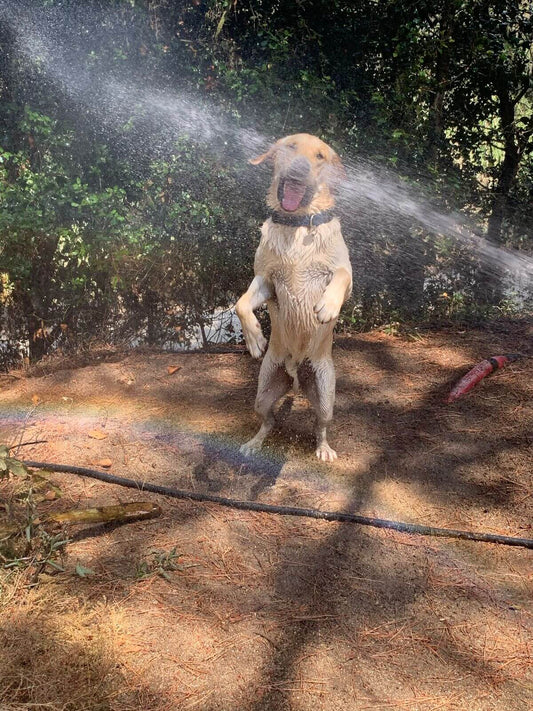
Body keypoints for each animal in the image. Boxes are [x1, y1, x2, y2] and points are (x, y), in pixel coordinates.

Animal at [235, 134, 352, 462]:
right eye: (290, 146)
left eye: (320, 156)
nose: (299, 168)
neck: (298, 224)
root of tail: (296, 377)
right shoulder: (266, 280)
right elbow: (240, 303)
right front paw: (254, 338)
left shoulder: (344, 273)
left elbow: (341, 277)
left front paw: (327, 306)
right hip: (263, 391)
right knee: (269, 420)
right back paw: (254, 443)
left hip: (325, 394)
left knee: (320, 425)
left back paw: (324, 449)